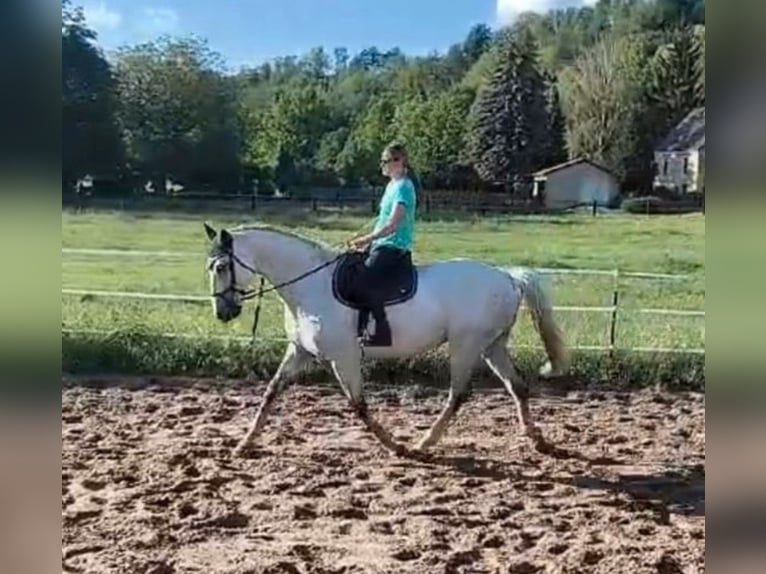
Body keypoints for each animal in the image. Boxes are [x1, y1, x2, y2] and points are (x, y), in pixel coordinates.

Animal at [204, 224, 568, 460]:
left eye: (221, 266)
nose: (223, 312)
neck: (311, 285)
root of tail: (508, 277)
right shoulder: (301, 352)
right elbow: (271, 392)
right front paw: (244, 444)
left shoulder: (344, 357)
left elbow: (359, 405)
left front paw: (395, 446)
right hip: (492, 346)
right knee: (517, 387)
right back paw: (539, 442)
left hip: (466, 346)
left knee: (459, 394)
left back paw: (424, 444)